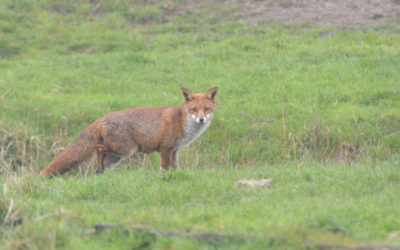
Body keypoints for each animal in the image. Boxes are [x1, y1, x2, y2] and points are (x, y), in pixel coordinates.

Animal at [39, 87, 217, 177]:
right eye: (194, 109)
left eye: (206, 109)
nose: (201, 119)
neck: (182, 122)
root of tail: (103, 117)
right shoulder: (165, 148)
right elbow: (165, 167)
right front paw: (163, 178)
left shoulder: (175, 150)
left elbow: (175, 167)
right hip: (127, 150)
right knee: (98, 148)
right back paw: (98, 167)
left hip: (116, 157)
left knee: (101, 156)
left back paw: (99, 172)